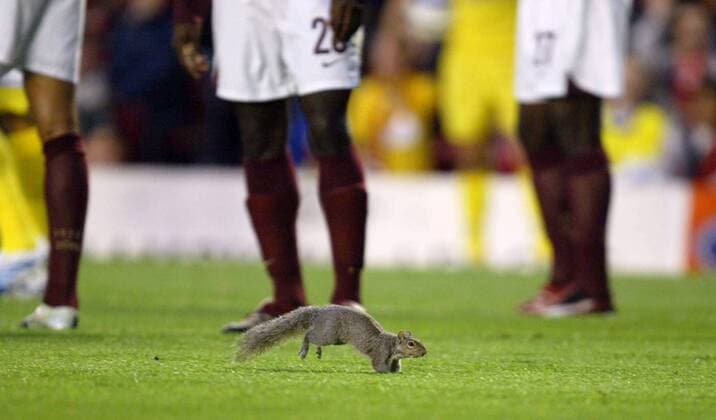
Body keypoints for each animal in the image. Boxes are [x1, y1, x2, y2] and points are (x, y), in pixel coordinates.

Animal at [236, 305, 427, 373]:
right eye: (411, 344)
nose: (425, 352)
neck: (392, 344)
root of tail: (320, 311)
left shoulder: (394, 358)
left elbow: (396, 366)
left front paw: (397, 372)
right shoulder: (380, 352)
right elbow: (378, 365)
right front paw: (385, 373)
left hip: (335, 339)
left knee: (315, 338)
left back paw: (318, 351)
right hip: (329, 334)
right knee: (309, 334)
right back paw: (304, 349)